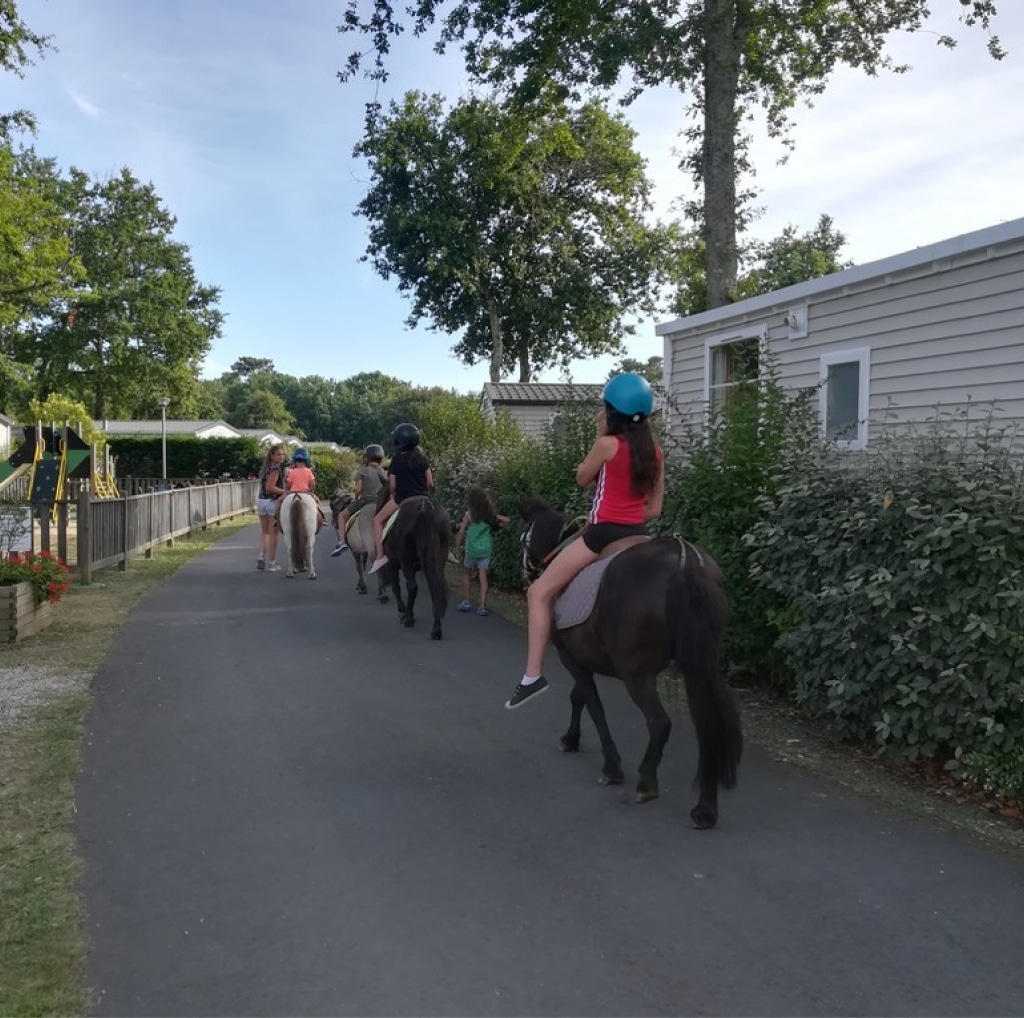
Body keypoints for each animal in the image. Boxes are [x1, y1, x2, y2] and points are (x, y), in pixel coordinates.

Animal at [382, 493, 450, 643]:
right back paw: (436, 630)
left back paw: (408, 619)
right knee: (436, 589)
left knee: (413, 587)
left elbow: (397, 586)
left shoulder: (393, 561)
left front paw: (403, 610)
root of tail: (426, 507)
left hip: (405, 560)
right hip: (439, 559)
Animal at [524, 495, 741, 827]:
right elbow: (580, 697)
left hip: (637, 674)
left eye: (524, 537)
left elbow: (592, 705)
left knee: (660, 723)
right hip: (699, 664)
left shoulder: (570, 656)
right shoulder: (584, 657)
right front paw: (572, 739)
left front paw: (610, 766)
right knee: (708, 724)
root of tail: (687, 563)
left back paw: (647, 783)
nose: (526, 570)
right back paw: (705, 809)